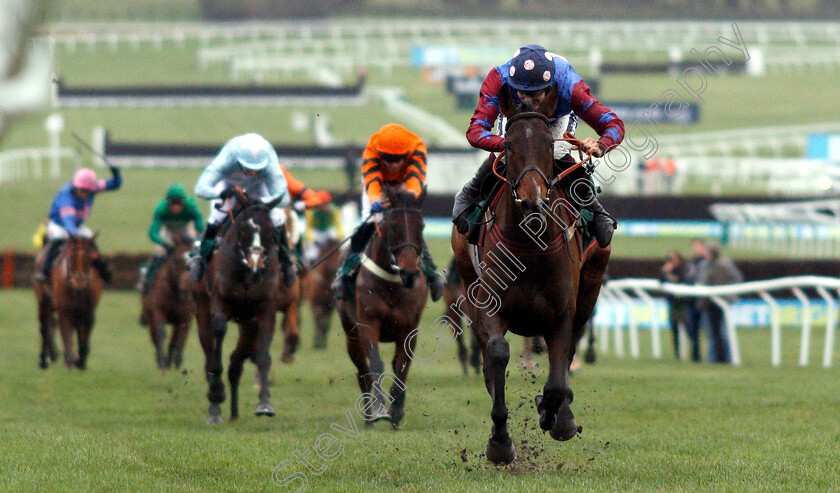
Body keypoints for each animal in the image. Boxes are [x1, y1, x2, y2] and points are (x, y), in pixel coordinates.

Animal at [34, 235, 104, 368]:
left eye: (89, 258)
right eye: (71, 257)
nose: (79, 282)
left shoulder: (89, 310)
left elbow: (84, 334)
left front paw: (80, 361)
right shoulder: (64, 308)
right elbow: (65, 332)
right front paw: (70, 361)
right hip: (43, 300)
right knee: (44, 326)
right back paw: (44, 359)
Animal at [141, 234, 195, 368]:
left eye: (193, 263)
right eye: (177, 260)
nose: (186, 290)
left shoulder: (185, 315)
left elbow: (180, 337)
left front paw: (176, 362)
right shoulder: (157, 310)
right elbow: (160, 333)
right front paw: (162, 363)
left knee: (179, 337)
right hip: (149, 315)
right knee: (154, 335)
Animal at [191, 189, 286, 422]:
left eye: (270, 229)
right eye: (243, 226)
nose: (255, 262)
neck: (246, 273)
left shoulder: (265, 309)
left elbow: (263, 356)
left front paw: (265, 403)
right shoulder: (219, 301)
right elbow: (218, 338)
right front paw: (216, 394)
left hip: (247, 323)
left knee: (236, 360)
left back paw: (234, 411)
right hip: (201, 307)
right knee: (209, 355)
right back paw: (215, 409)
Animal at [336, 186, 426, 428]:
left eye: (422, 226)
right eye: (393, 225)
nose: (409, 273)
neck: (392, 283)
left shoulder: (409, 328)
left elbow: (402, 366)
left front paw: (396, 412)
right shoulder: (368, 323)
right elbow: (376, 364)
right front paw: (379, 410)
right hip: (351, 335)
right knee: (363, 372)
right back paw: (368, 417)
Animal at [452, 82, 612, 464]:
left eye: (548, 146)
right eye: (508, 145)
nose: (531, 201)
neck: (530, 243)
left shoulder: (562, 311)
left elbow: (557, 377)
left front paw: (556, 417)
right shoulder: (490, 304)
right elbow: (497, 353)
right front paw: (499, 442)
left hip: (593, 281)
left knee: (570, 352)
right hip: (466, 279)